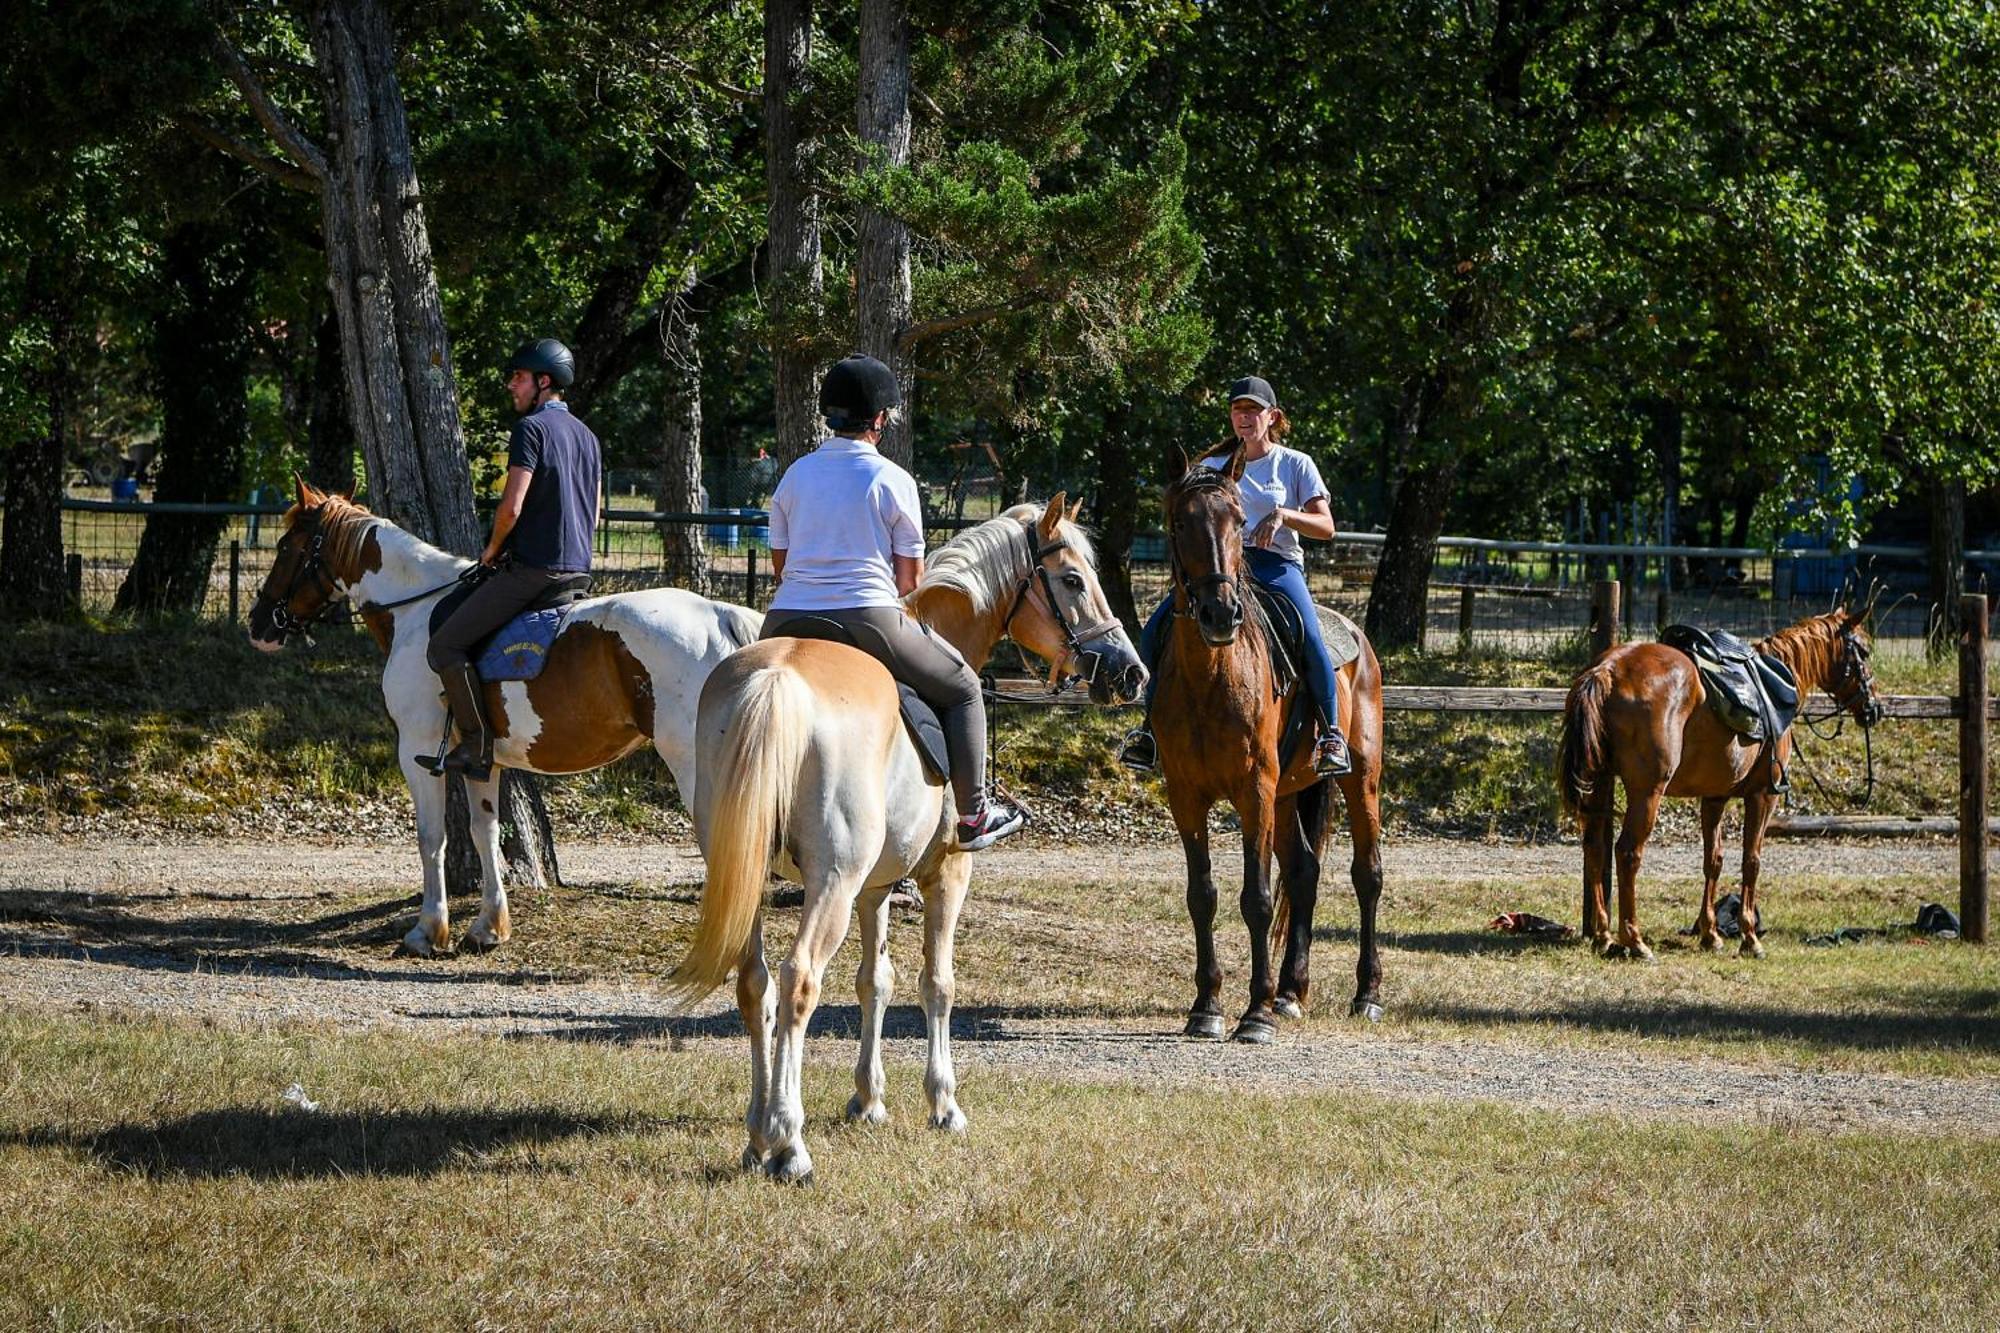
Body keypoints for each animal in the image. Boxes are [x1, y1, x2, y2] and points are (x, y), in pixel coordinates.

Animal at [244, 478, 756, 956]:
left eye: (286, 547)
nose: (258, 625)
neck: (417, 609)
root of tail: (717, 615)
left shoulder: (416, 749)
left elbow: (431, 837)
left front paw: (428, 930)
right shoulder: (479, 760)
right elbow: (485, 832)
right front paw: (488, 927)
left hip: (694, 763)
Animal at [668, 492, 1152, 1176]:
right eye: (1074, 580)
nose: (1129, 673)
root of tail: (777, 680)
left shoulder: (875, 889)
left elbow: (875, 982)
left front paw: (868, 1099)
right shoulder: (946, 872)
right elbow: (936, 984)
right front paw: (943, 1103)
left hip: (748, 873)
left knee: (756, 984)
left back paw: (758, 1135)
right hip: (831, 884)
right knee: (798, 981)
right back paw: (789, 1143)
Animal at [1152, 452, 1384, 1040]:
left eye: (1239, 520)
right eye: (1179, 522)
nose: (1219, 613)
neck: (1211, 678)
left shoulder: (1254, 790)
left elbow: (1255, 899)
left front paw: (1253, 1015)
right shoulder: (1186, 795)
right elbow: (1202, 895)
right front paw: (1207, 1007)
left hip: (1360, 778)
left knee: (1366, 875)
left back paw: (1366, 994)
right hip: (1286, 795)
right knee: (1303, 871)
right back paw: (1290, 991)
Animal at [1560, 600, 1888, 956]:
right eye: (1864, 651)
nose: (1875, 708)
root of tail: (1607, 670)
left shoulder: (1714, 797)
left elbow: (1713, 860)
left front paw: (1711, 934)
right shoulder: (1763, 795)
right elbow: (1751, 860)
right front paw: (1750, 938)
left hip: (1599, 783)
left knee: (1594, 847)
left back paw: (1604, 935)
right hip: (1646, 792)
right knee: (1627, 853)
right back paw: (1635, 940)